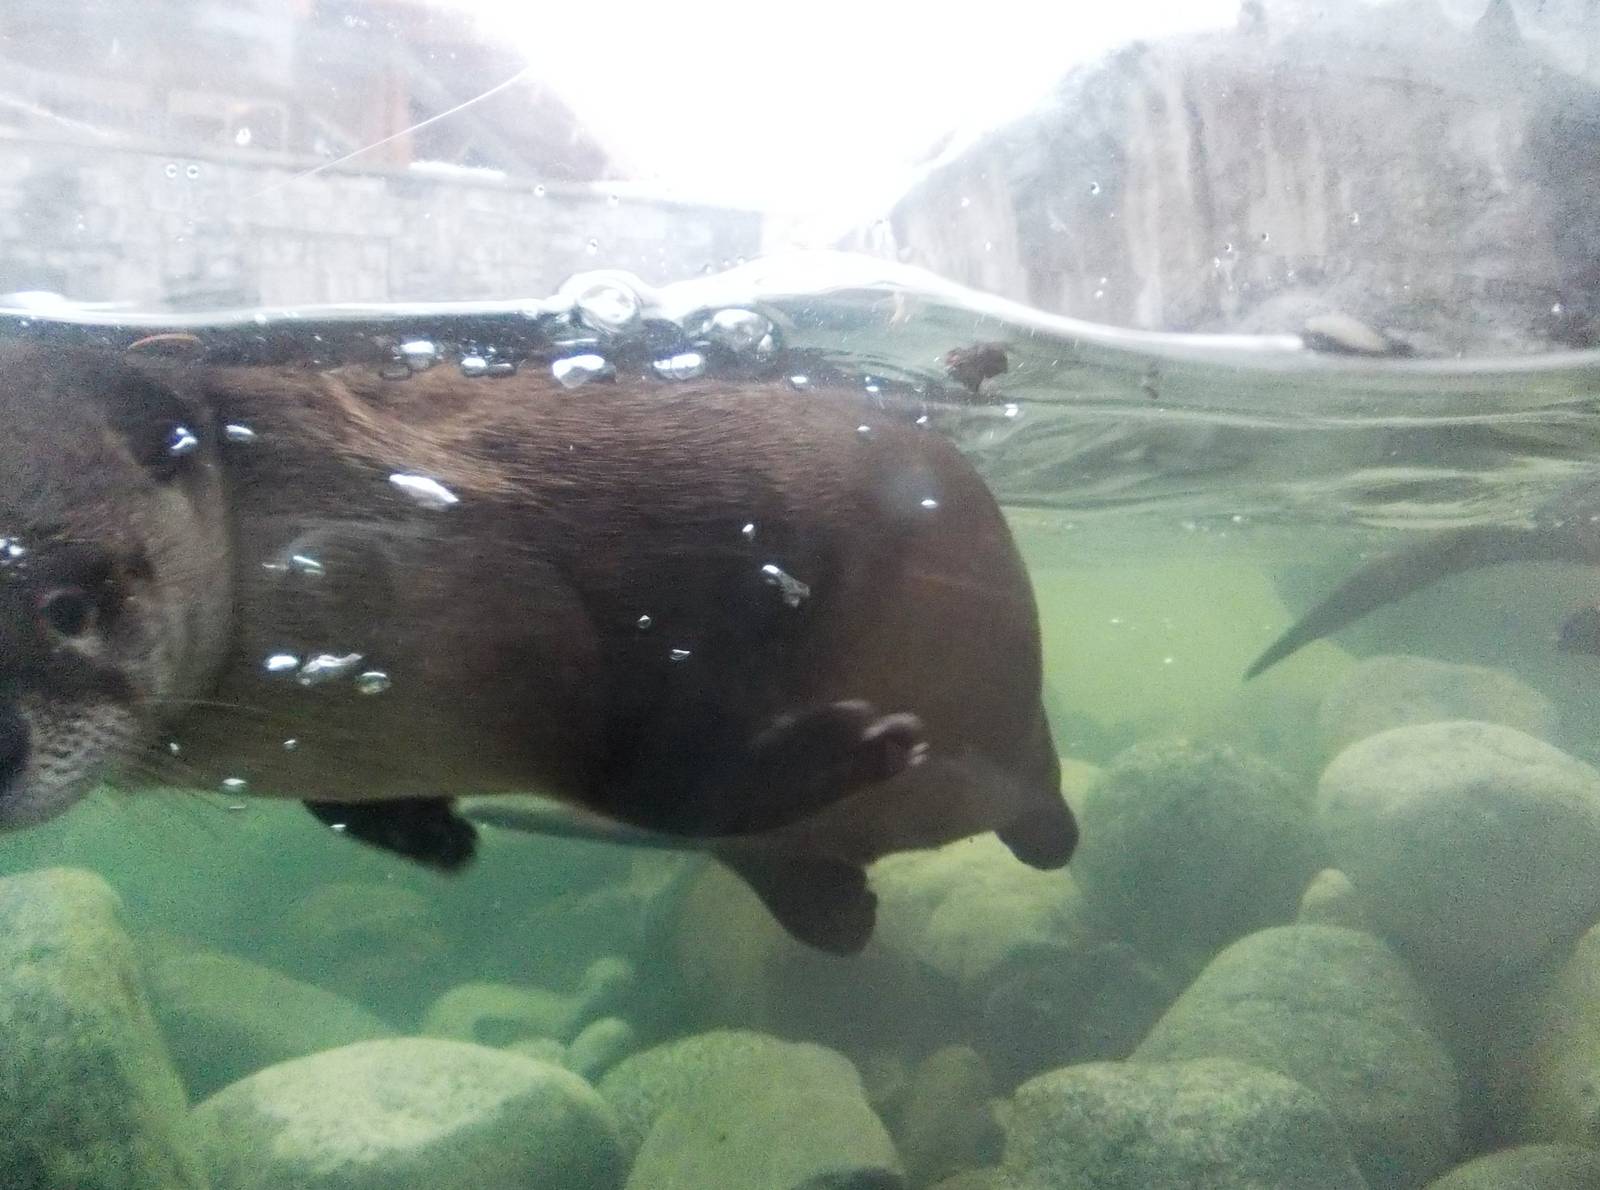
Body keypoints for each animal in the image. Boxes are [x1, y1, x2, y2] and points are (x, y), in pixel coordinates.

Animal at [0, 340, 1075, 954]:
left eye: (69, 605)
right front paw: (430, 834)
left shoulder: (523, 605)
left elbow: (650, 765)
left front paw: (868, 743)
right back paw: (840, 909)